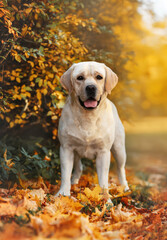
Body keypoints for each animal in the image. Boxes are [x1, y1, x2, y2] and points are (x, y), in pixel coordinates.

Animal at [56, 61, 129, 196]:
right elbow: (65, 175)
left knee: (121, 168)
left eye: (99, 77)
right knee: (78, 167)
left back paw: (124, 187)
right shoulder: (66, 148)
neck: (88, 117)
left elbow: (103, 180)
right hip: (76, 152)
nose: (90, 87)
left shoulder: (103, 152)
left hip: (119, 148)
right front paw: (63, 193)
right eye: (80, 77)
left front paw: (105, 198)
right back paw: (74, 182)